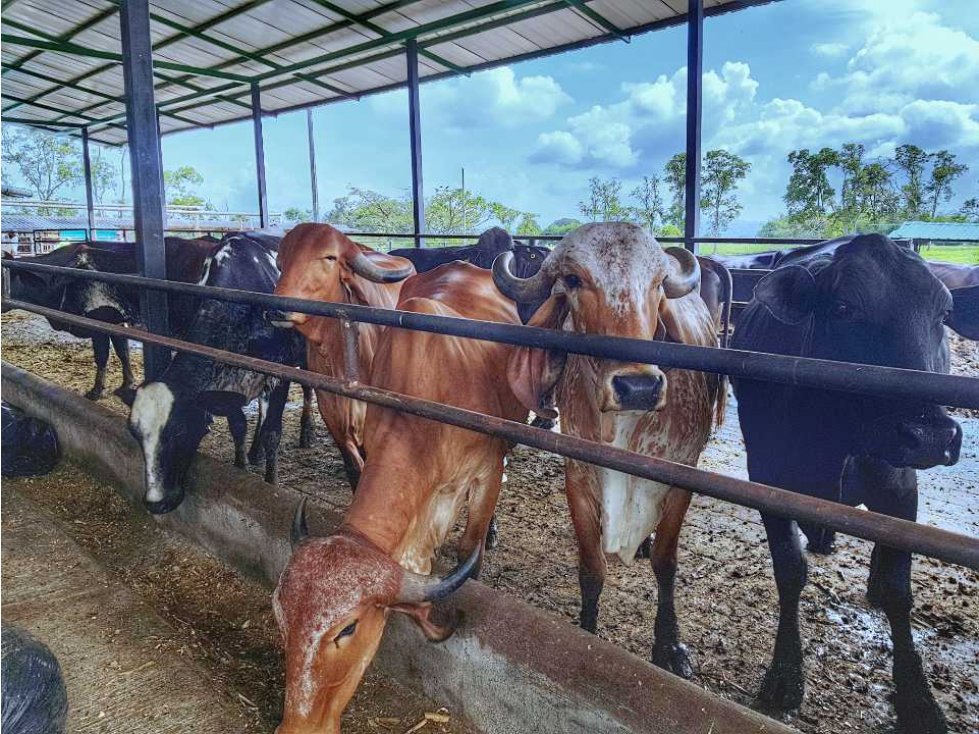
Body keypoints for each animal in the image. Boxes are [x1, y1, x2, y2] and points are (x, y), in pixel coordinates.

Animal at [494, 223, 724, 680]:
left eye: (658, 283)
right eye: (573, 280)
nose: (638, 386)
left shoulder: (681, 476)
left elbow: (667, 564)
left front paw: (670, 646)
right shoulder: (579, 475)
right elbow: (591, 567)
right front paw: (587, 631)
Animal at [732, 236, 968, 734]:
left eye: (943, 314)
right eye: (843, 307)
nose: (930, 435)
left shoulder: (898, 487)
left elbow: (899, 587)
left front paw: (919, 701)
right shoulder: (766, 476)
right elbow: (789, 569)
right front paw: (784, 676)